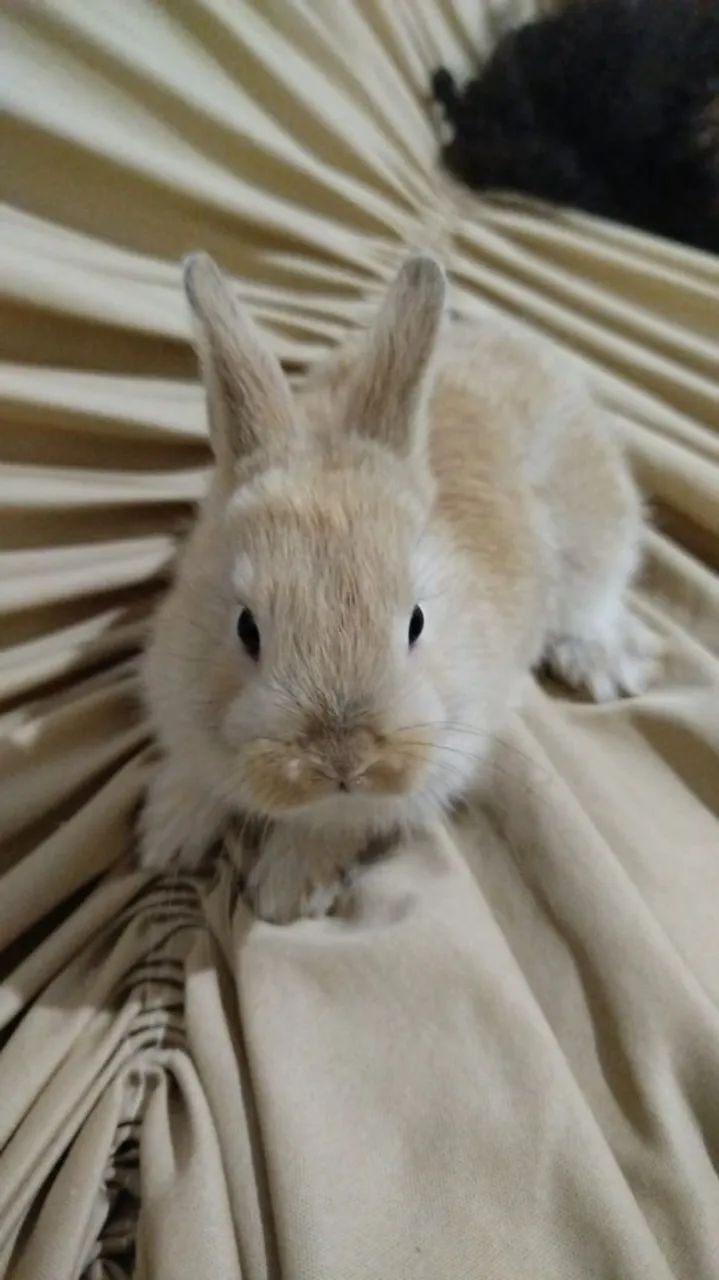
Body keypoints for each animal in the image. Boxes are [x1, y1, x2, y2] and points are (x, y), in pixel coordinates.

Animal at [138, 252, 655, 922]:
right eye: (246, 627)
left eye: (417, 622)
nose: (344, 760)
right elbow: (197, 773)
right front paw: (166, 834)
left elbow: (338, 824)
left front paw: (285, 889)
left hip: (592, 543)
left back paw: (603, 664)